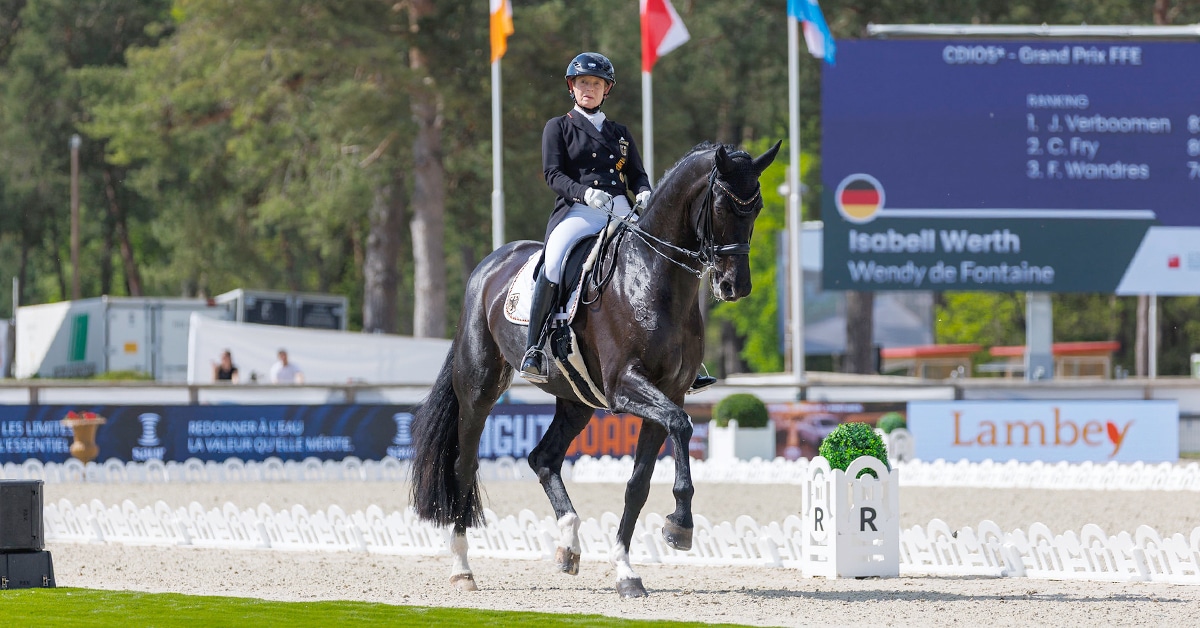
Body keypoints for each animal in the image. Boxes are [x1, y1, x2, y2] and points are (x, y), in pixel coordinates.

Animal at [409, 140, 781, 597]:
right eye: (723, 205)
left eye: (757, 206)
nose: (734, 287)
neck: (653, 278)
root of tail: (489, 266)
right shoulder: (626, 387)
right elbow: (682, 424)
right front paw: (680, 525)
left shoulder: (667, 393)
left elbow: (638, 483)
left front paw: (627, 571)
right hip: (479, 390)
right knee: (465, 466)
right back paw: (463, 568)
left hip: (577, 402)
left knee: (543, 458)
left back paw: (568, 547)